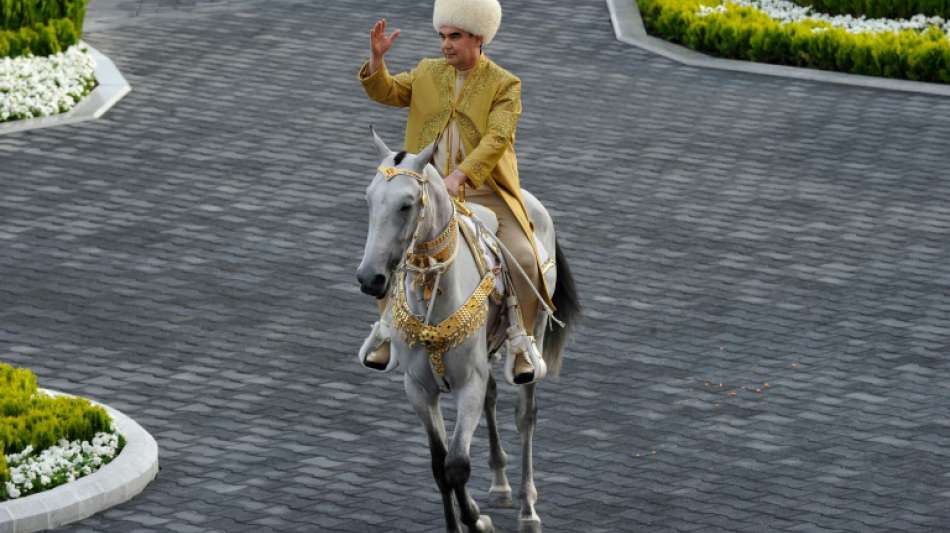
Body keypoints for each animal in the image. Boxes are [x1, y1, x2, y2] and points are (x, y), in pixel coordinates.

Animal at [356, 130, 580, 532]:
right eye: (369, 198)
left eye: (406, 205)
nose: (370, 278)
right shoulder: (419, 389)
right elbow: (439, 466)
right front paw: (461, 520)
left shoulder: (467, 386)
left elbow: (457, 464)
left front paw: (476, 521)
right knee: (493, 397)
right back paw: (500, 483)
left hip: (534, 333)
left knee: (526, 416)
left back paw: (527, 509)